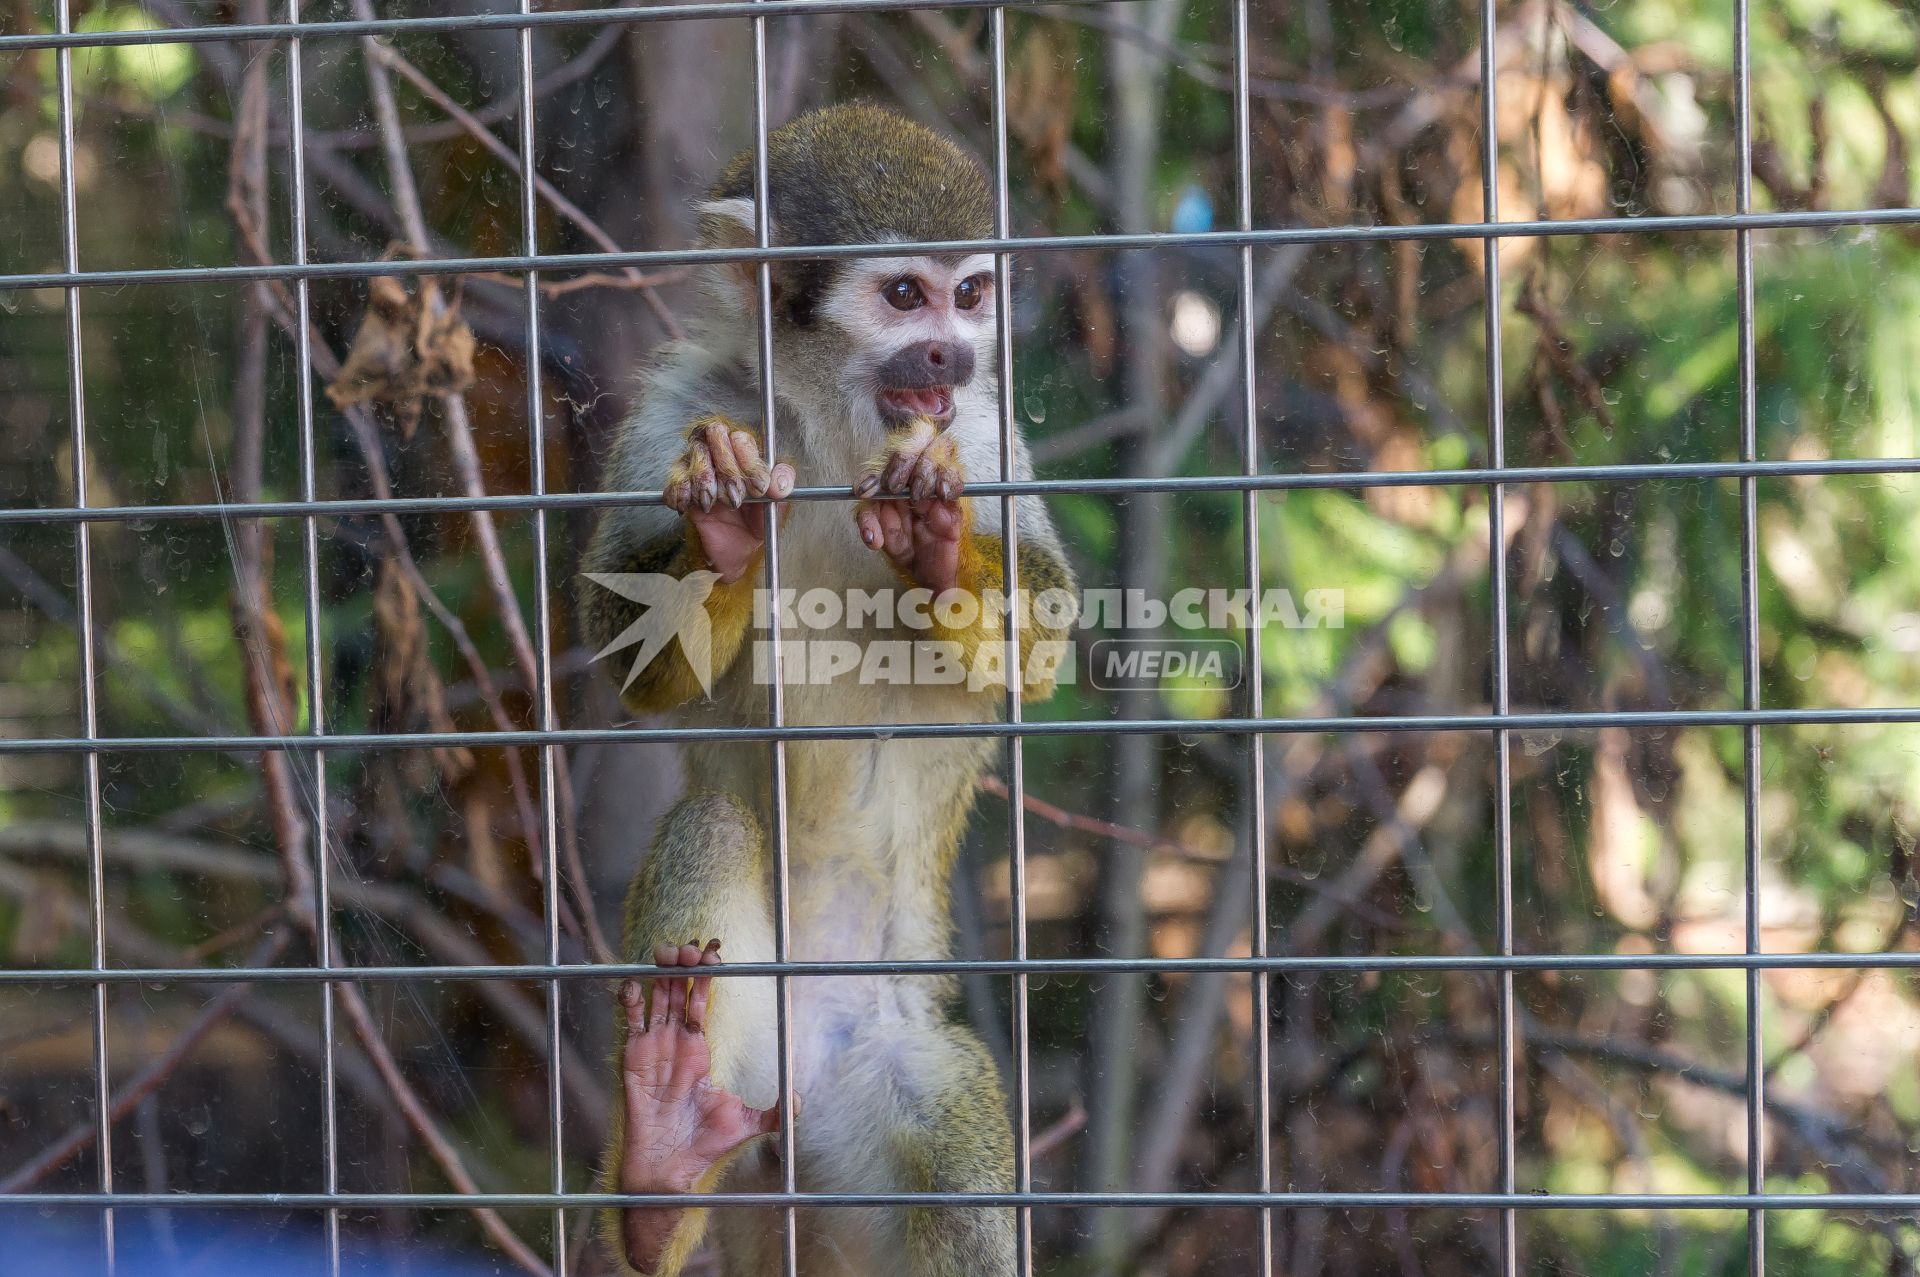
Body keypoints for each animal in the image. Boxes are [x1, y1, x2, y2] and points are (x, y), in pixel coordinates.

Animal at [576, 107, 1075, 1275]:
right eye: (902, 295)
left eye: (969, 294)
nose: (950, 350)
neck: (828, 429)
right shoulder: (687, 400)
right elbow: (625, 650)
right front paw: (721, 532)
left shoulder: (977, 427)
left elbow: (1044, 635)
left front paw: (939, 542)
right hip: (743, 1072)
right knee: (714, 823)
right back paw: (661, 1169)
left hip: (887, 1071)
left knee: (950, 1150)